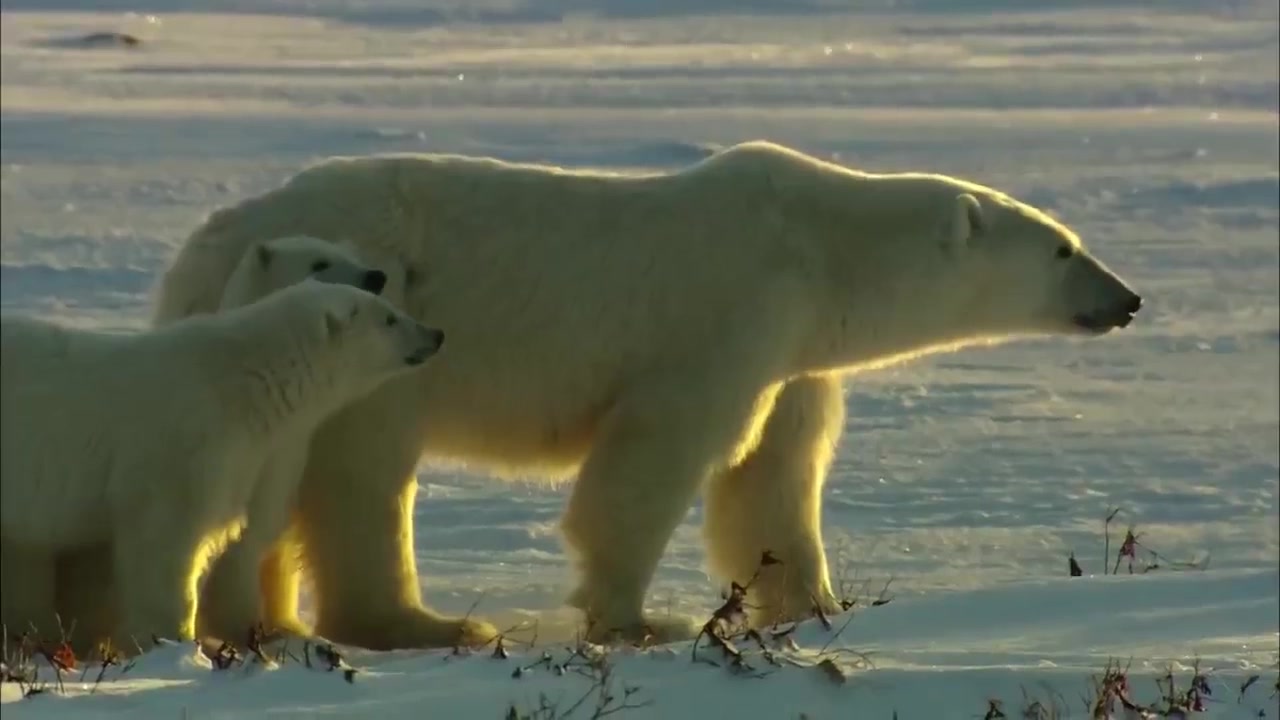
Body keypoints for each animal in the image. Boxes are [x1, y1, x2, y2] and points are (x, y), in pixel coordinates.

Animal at [147, 140, 1141, 650]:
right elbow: (659, 456)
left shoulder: (793, 353)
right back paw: (422, 622)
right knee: (367, 475)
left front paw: (819, 605)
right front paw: (640, 618)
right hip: (373, 335)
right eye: (1062, 247)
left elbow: (775, 477)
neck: (817, 247)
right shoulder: (729, 311)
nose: (1127, 299)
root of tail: (204, 249)